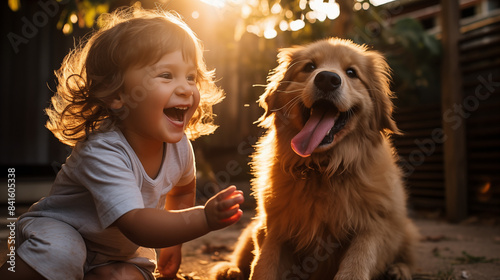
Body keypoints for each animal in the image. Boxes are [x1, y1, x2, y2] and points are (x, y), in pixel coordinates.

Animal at [211, 37, 418, 280]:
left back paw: (398, 270)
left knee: (407, 257)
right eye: (309, 67)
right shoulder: (275, 226)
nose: (327, 79)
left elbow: (357, 263)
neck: (322, 168)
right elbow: (264, 264)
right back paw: (229, 270)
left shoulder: (374, 227)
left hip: (405, 230)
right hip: (253, 227)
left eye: (351, 72)